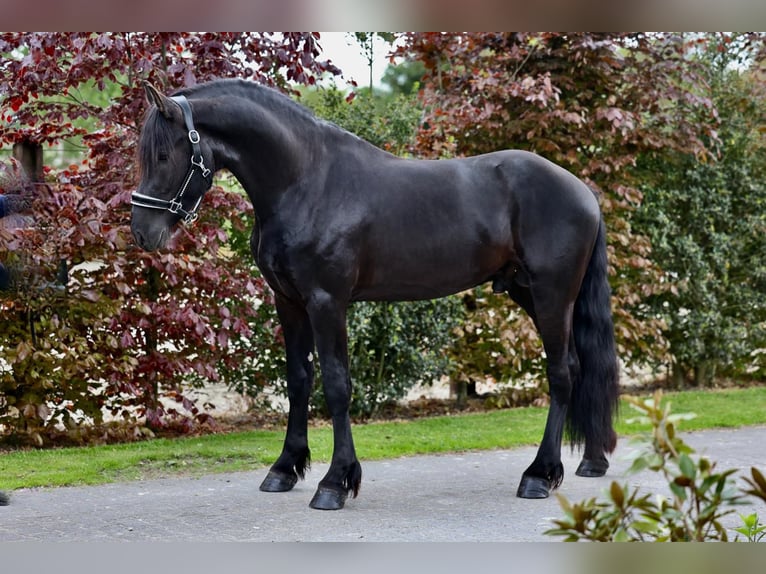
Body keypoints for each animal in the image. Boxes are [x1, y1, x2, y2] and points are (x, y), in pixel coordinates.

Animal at [131, 79, 620, 511]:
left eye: (163, 154)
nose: (141, 232)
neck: (306, 181)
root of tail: (582, 191)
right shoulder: (288, 302)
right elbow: (299, 380)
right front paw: (285, 468)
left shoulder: (327, 301)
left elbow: (337, 385)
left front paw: (334, 483)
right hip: (529, 292)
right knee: (579, 366)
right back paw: (590, 461)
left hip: (552, 294)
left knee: (561, 373)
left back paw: (538, 475)